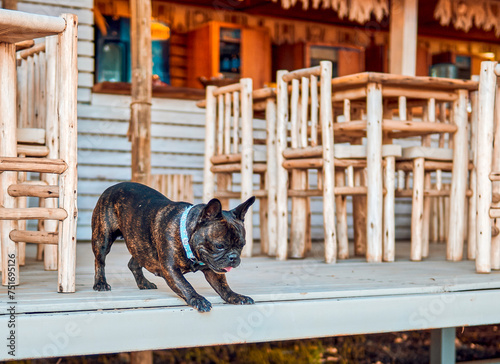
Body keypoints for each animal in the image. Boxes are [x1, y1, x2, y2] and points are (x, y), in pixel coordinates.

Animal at [91, 182, 254, 312]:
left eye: (242, 245)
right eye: (219, 245)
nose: (234, 257)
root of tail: (112, 187)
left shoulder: (212, 270)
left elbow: (223, 286)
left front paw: (236, 296)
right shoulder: (170, 269)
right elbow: (185, 284)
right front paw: (197, 299)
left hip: (141, 244)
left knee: (134, 262)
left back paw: (144, 283)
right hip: (103, 238)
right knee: (100, 261)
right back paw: (100, 283)